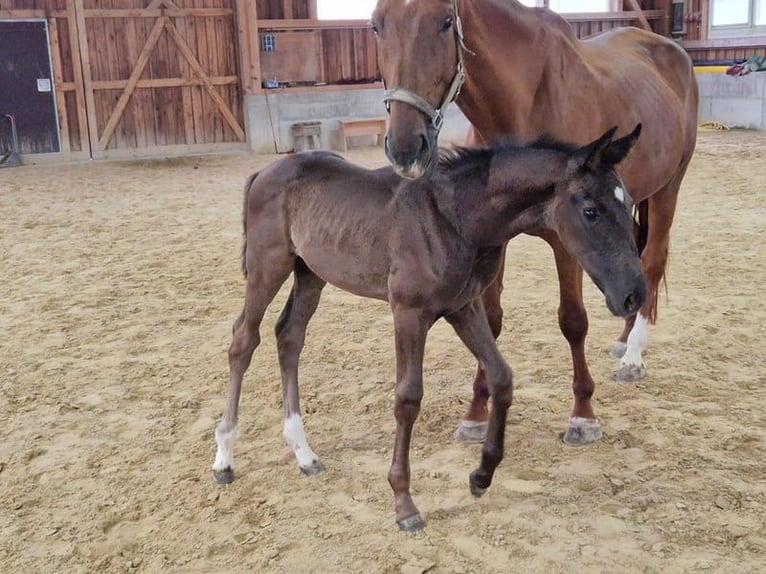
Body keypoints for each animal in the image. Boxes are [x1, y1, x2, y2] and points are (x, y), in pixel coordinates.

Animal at [212, 125, 646, 531]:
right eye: (590, 211)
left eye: (629, 205)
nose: (634, 295)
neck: (454, 219)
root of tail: (265, 171)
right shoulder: (408, 312)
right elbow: (408, 398)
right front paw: (404, 503)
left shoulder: (464, 307)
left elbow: (501, 377)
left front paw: (481, 476)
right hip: (268, 267)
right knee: (243, 340)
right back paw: (224, 459)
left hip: (310, 274)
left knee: (289, 336)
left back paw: (304, 454)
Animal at [372, 0, 698, 445]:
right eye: (376, 25)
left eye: (444, 21)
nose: (406, 147)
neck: (525, 101)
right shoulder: (491, 235)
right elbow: (489, 323)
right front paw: (476, 412)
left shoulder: (568, 242)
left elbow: (573, 321)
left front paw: (583, 415)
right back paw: (623, 338)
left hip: (669, 189)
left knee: (652, 261)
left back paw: (633, 354)